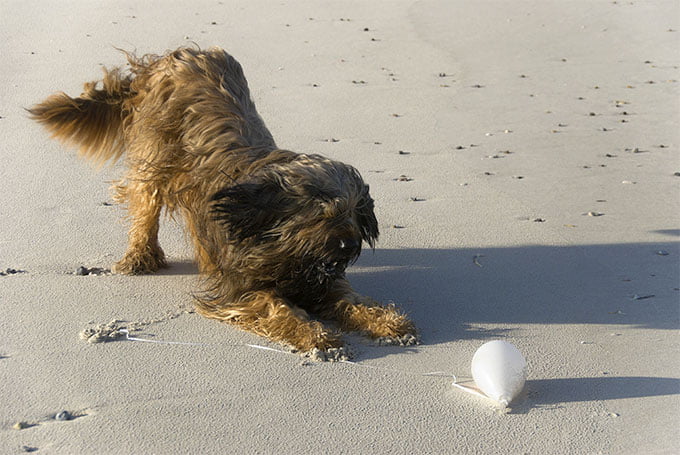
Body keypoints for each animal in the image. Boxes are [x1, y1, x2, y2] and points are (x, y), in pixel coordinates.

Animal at [29, 48, 418, 358]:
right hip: (154, 155)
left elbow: (349, 299)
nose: (348, 245)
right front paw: (316, 336)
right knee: (145, 202)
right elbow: (276, 307)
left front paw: (387, 321)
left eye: (354, 212)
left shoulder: (320, 279)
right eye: (320, 213)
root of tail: (173, 56)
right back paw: (140, 256)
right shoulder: (241, 289)